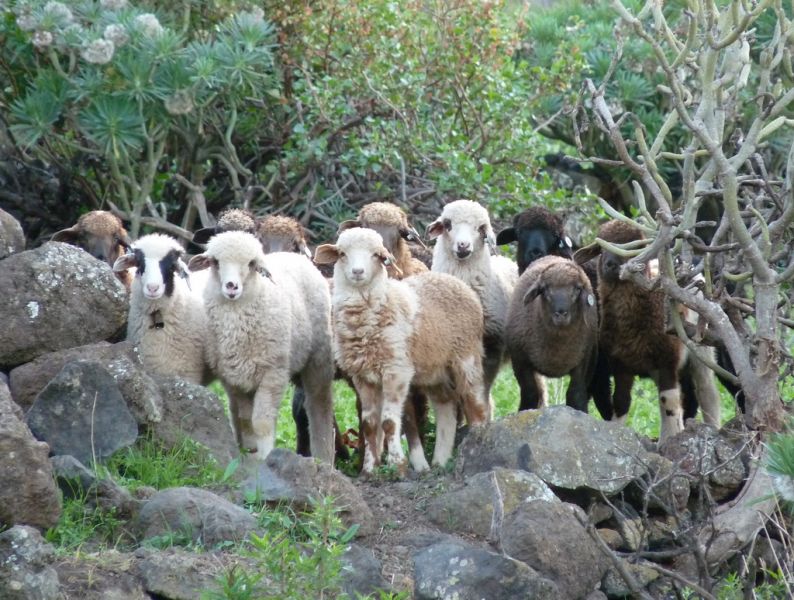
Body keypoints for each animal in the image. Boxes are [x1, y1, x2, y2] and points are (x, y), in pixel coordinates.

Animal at [188, 231, 335, 464]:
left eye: (251, 264)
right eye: (215, 262)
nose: (231, 286)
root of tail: (295, 256)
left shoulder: (273, 373)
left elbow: (262, 423)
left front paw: (266, 457)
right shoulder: (235, 378)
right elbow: (246, 420)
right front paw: (251, 455)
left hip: (318, 357)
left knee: (318, 405)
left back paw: (324, 457)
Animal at [314, 227, 489, 474]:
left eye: (377, 256)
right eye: (342, 254)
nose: (357, 272)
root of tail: (452, 280)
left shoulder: (396, 371)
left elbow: (388, 422)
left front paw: (398, 465)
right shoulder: (363, 377)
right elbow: (369, 424)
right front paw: (369, 469)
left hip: (466, 357)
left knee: (476, 404)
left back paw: (476, 443)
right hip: (435, 370)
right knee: (445, 408)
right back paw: (439, 461)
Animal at [506, 255, 599, 411]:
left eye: (577, 288)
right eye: (545, 289)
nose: (561, 314)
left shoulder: (584, 359)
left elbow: (576, 393)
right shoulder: (519, 360)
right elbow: (530, 393)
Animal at [574, 220, 689, 440]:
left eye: (635, 246)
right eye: (601, 248)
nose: (611, 264)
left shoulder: (668, 361)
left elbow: (669, 402)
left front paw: (670, 440)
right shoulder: (621, 364)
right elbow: (621, 401)